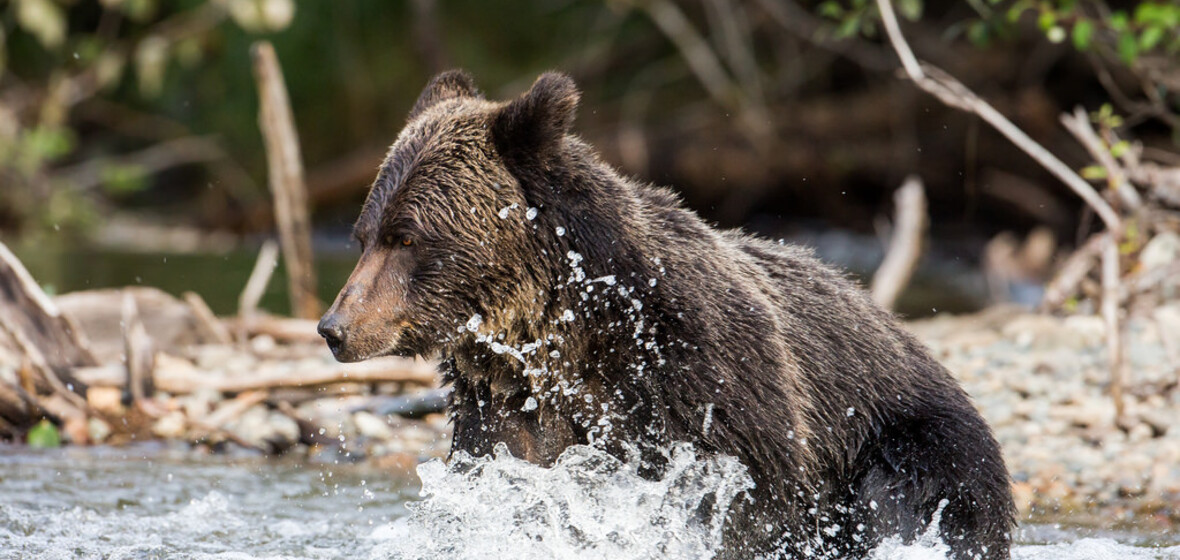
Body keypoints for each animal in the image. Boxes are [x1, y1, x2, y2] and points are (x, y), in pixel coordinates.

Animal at [320, 71, 1014, 560]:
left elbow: (754, 501)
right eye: (364, 235)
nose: (334, 329)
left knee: (910, 501)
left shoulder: (709, 376)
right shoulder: (507, 411)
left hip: (916, 440)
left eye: (406, 237)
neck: (561, 328)